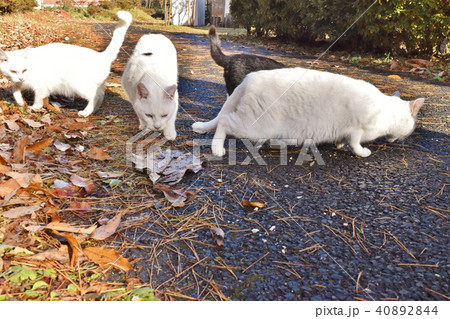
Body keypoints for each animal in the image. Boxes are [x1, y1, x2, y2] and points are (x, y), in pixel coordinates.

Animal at [0, 10, 133, 117]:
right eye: (13, 71)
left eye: (24, 70)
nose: (21, 77)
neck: (31, 66)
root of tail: (102, 56)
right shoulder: (22, 82)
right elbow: (14, 88)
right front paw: (20, 101)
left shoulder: (40, 86)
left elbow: (38, 98)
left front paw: (34, 107)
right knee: (101, 94)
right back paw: (94, 110)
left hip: (79, 86)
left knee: (95, 96)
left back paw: (85, 112)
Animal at [193, 67, 426, 158]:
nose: (402, 138)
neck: (386, 110)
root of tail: (249, 78)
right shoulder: (357, 131)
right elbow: (356, 144)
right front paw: (362, 152)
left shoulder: (346, 131)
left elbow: (342, 140)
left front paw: (339, 145)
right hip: (253, 126)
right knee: (224, 121)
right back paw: (217, 148)